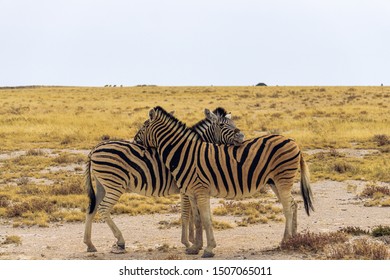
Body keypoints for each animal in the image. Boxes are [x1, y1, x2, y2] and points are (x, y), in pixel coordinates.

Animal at [84, 107, 244, 254]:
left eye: (234, 123)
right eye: (222, 125)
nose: (242, 136)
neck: (192, 152)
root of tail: (95, 149)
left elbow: (191, 214)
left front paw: (193, 241)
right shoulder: (186, 188)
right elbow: (187, 214)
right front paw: (189, 242)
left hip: (102, 185)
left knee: (92, 208)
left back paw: (90, 244)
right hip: (115, 184)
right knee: (103, 208)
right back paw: (120, 241)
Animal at [134, 106, 314, 258]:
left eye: (143, 126)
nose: (134, 140)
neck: (184, 153)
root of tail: (293, 141)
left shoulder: (200, 191)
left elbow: (205, 219)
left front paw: (208, 249)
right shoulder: (191, 193)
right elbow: (197, 219)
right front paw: (195, 247)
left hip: (282, 179)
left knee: (288, 208)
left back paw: (285, 241)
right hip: (275, 182)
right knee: (293, 204)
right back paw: (293, 239)